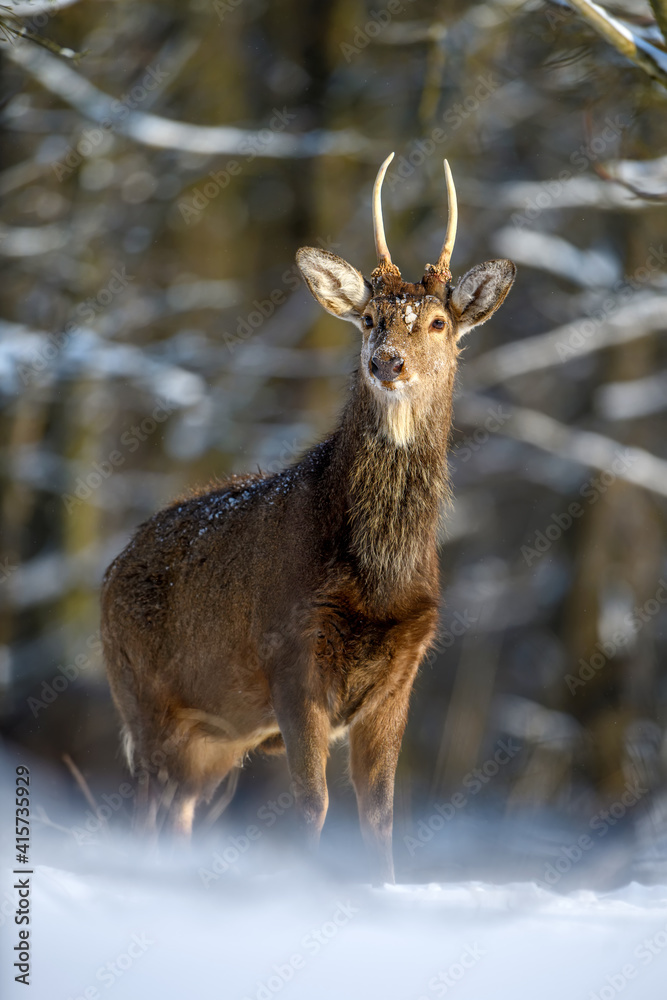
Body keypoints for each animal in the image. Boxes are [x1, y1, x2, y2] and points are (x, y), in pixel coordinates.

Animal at [102, 152, 516, 880]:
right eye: (370, 318)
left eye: (437, 323)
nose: (387, 363)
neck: (377, 584)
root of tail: (109, 571)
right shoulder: (290, 654)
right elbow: (311, 807)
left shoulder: (401, 673)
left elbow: (379, 813)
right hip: (142, 695)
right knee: (145, 809)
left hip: (214, 738)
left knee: (178, 813)